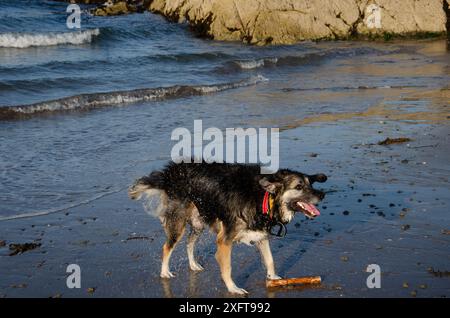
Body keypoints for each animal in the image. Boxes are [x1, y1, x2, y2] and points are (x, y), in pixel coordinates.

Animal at [128, 161, 326, 296]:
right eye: (299, 186)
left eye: (311, 184)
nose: (322, 194)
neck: (263, 196)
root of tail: (170, 173)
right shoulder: (225, 240)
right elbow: (227, 268)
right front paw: (233, 288)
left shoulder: (260, 235)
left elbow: (270, 260)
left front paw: (274, 278)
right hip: (179, 222)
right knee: (167, 247)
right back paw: (164, 272)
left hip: (199, 221)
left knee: (189, 243)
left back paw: (193, 264)